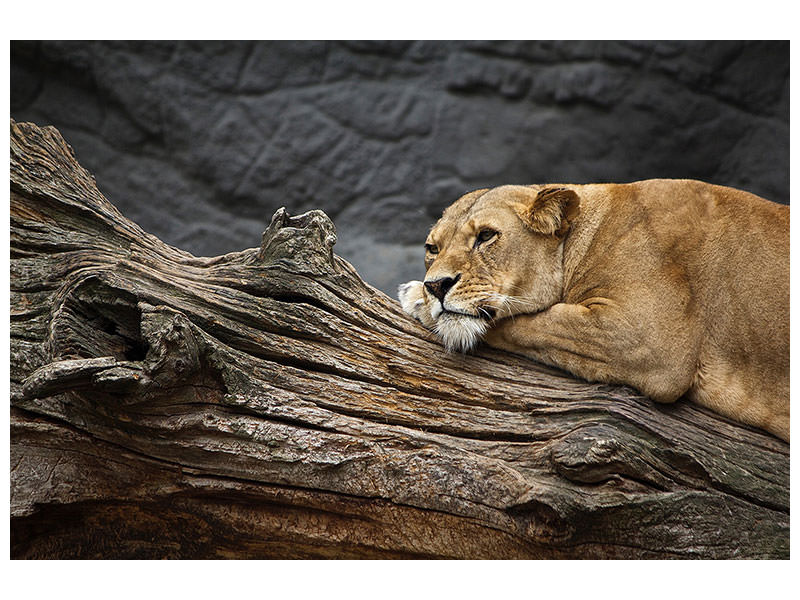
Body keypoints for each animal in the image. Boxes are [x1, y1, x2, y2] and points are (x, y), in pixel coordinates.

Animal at [398, 180, 789, 441]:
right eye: (432, 248)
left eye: (486, 236)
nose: (436, 286)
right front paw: (419, 293)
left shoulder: (649, 338)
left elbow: (536, 320)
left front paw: (417, 299)